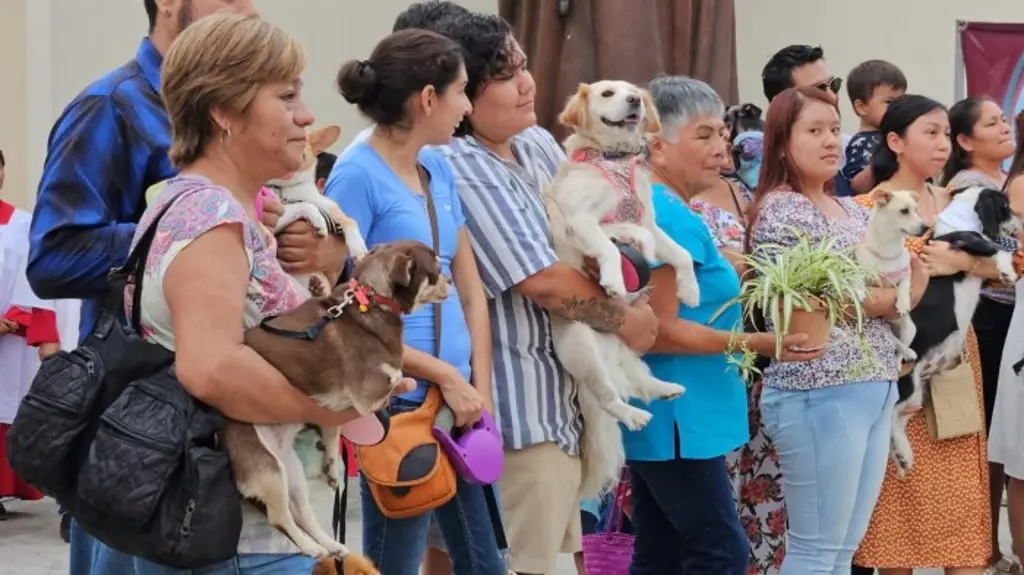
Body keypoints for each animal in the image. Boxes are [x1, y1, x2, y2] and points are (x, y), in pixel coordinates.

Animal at [268, 125, 372, 294]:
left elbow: (348, 220)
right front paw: (319, 221)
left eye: (302, 138)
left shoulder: (326, 204)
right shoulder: (271, 220)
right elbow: (304, 205)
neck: (284, 189)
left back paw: (318, 287)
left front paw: (357, 247)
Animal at [544, 79, 704, 493]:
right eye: (606, 93)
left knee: (639, 382)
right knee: (608, 397)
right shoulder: (583, 221)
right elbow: (611, 245)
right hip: (581, 349)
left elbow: (679, 251)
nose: (633, 101)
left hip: (631, 353)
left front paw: (690, 289)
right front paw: (616, 278)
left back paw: (665, 389)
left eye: (634, 92)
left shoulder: (649, 221)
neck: (613, 157)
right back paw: (632, 416)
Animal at [892, 186, 1019, 472]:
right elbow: (999, 249)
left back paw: (904, 456)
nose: (1020, 224)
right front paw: (1007, 272)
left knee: (896, 420)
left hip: (915, 393)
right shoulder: (970, 241)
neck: (961, 220)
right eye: (1005, 206)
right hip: (907, 384)